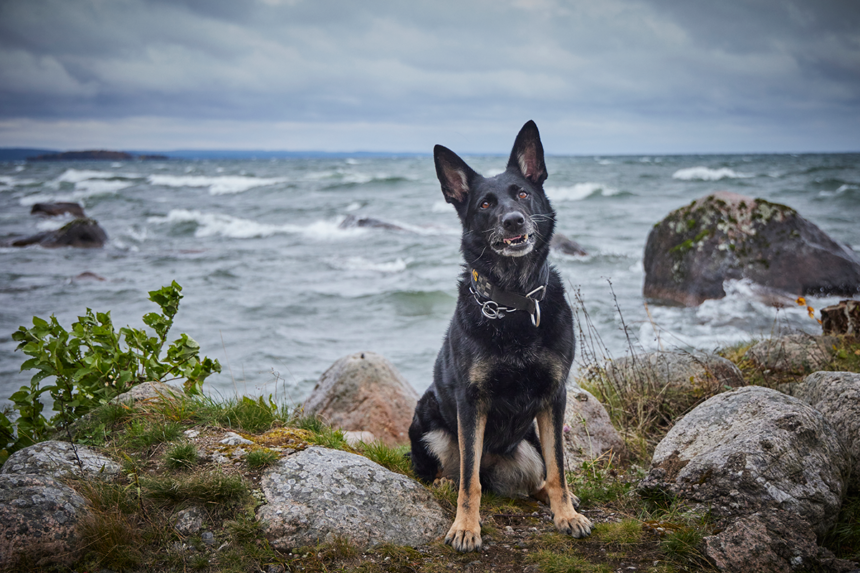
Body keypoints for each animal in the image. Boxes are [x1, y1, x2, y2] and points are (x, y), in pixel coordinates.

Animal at [410, 119, 592, 548]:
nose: (513, 221)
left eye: (522, 194)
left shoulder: (553, 397)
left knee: (539, 476)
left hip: (530, 442)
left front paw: (566, 515)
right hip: (428, 419)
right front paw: (465, 527)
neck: (514, 302)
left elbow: (559, 469)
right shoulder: (471, 403)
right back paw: (443, 483)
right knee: (458, 471)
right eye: (485, 205)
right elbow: (469, 481)